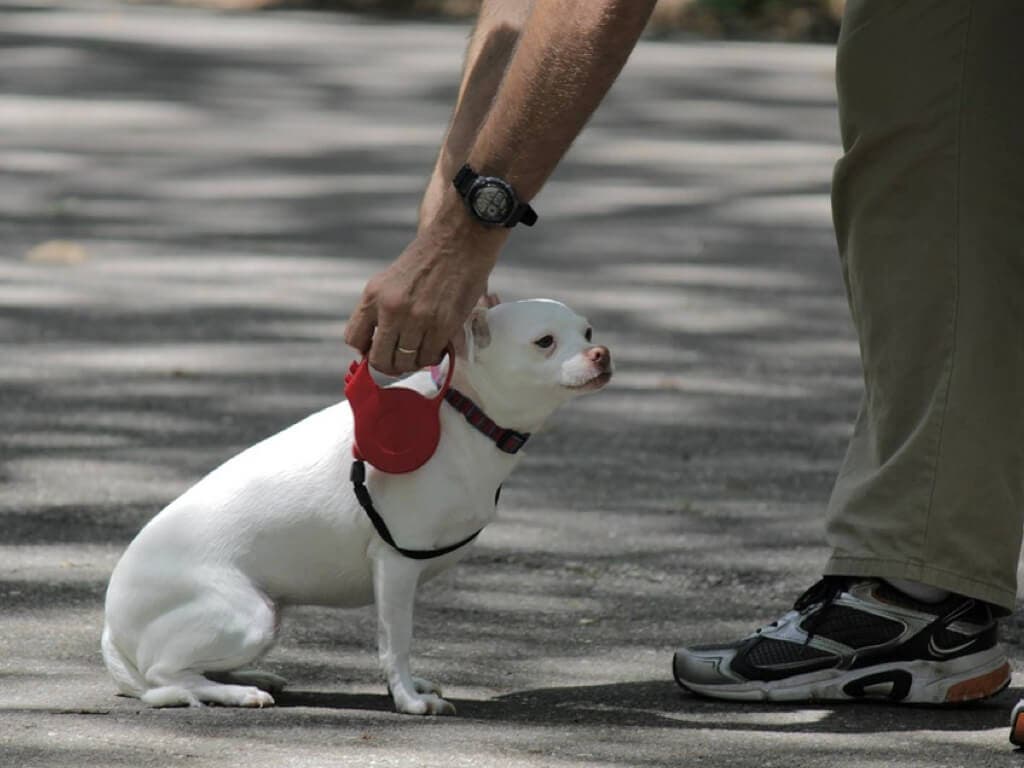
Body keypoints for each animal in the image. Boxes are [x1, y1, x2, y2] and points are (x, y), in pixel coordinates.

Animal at [102, 299, 610, 716]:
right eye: (545, 342)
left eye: (587, 331)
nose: (601, 353)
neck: (464, 412)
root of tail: (111, 627)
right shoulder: (396, 565)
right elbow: (395, 643)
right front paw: (408, 700)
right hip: (250, 617)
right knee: (165, 674)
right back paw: (237, 693)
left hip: (264, 618)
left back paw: (247, 677)